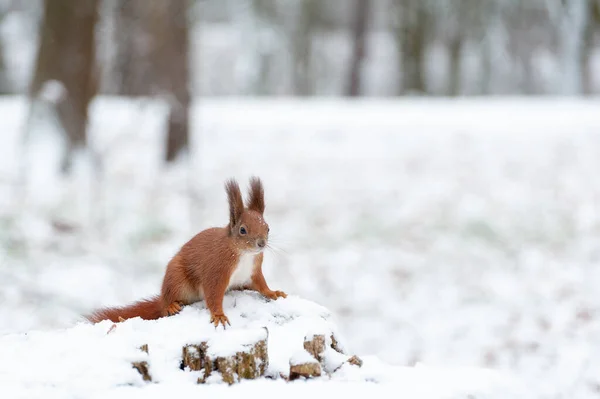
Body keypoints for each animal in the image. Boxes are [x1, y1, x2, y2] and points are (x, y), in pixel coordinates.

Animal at [85, 178, 288, 328]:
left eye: (267, 228)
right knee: (168, 299)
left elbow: (261, 284)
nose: (261, 244)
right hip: (176, 278)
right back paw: (170, 306)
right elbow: (213, 294)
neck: (244, 254)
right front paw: (218, 315)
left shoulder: (254, 270)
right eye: (243, 230)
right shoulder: (217, 269)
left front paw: (273, 292)